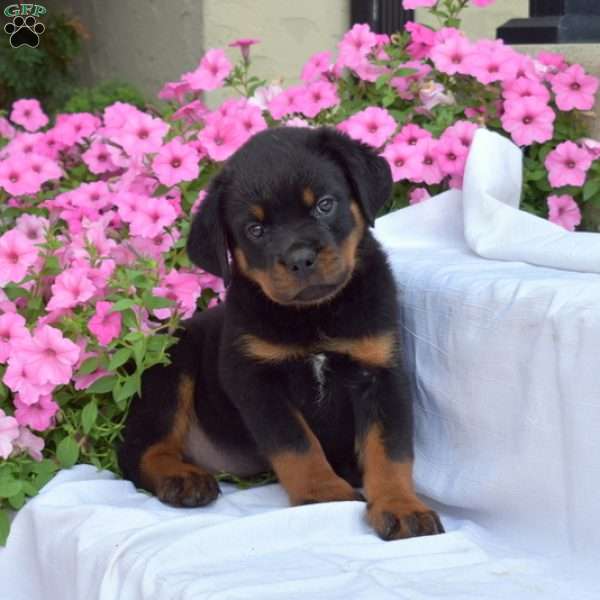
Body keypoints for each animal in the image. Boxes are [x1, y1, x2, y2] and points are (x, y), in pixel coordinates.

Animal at [118, 125, 446, 540]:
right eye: (255, 229)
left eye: (325, 204)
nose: (300, 259)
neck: (313, 315)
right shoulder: (255, 379)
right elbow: (296, 442)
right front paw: (323, 494)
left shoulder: (381, 370)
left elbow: (389, 449)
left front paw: (401, 506)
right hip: (172, 370)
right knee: (139, 450)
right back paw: (181, 479)